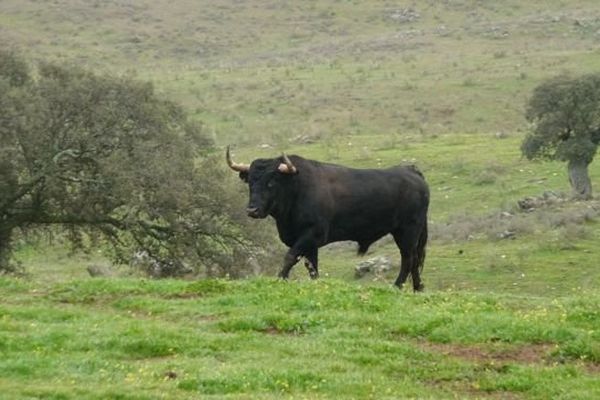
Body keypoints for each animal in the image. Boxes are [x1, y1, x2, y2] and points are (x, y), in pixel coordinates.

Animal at [227, 147, 428, 290]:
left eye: (271, 182)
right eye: (250, 182)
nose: (252, 210)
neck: (297, 188)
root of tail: (411, 170)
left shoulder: (311, 234)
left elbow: (290, 256)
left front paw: (280, 279)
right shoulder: (309, 244)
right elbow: (312, 266)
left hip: (407, 231)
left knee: (408, 258)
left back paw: (397, 286)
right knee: (415, 259)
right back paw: (417, 288)